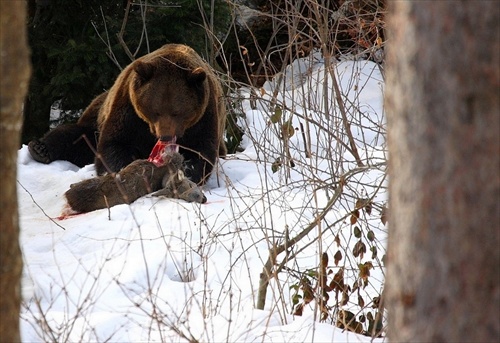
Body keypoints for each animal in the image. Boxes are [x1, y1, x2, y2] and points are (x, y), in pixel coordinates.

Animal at [28, 45, 228, 185]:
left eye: (177, 112)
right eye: (155, 110)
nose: (165, 135)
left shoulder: (204, 118)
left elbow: (201, 152)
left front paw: (184, 173)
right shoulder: (129, 110)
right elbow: (114, 144)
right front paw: (126, 170)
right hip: (97, 115)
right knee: (75, 136)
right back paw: (39, 149)